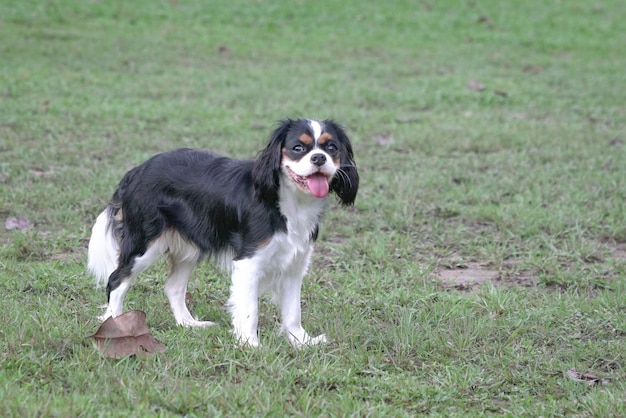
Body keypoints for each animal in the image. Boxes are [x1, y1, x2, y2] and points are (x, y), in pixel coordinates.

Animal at [86, 119, 356, 348]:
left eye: (331, 147)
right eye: (298, 148)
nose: (319, 157)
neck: (290, 202)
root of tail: (137, 170)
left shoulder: (295, 263)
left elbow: (293, 311)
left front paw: (301, 341)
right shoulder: (249, 262)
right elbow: (250, 310)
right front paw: (250, 345)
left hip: (189, 248)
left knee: (173, 287)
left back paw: (189, 324)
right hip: (145, 244)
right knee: (116, 280)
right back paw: (116, 326)